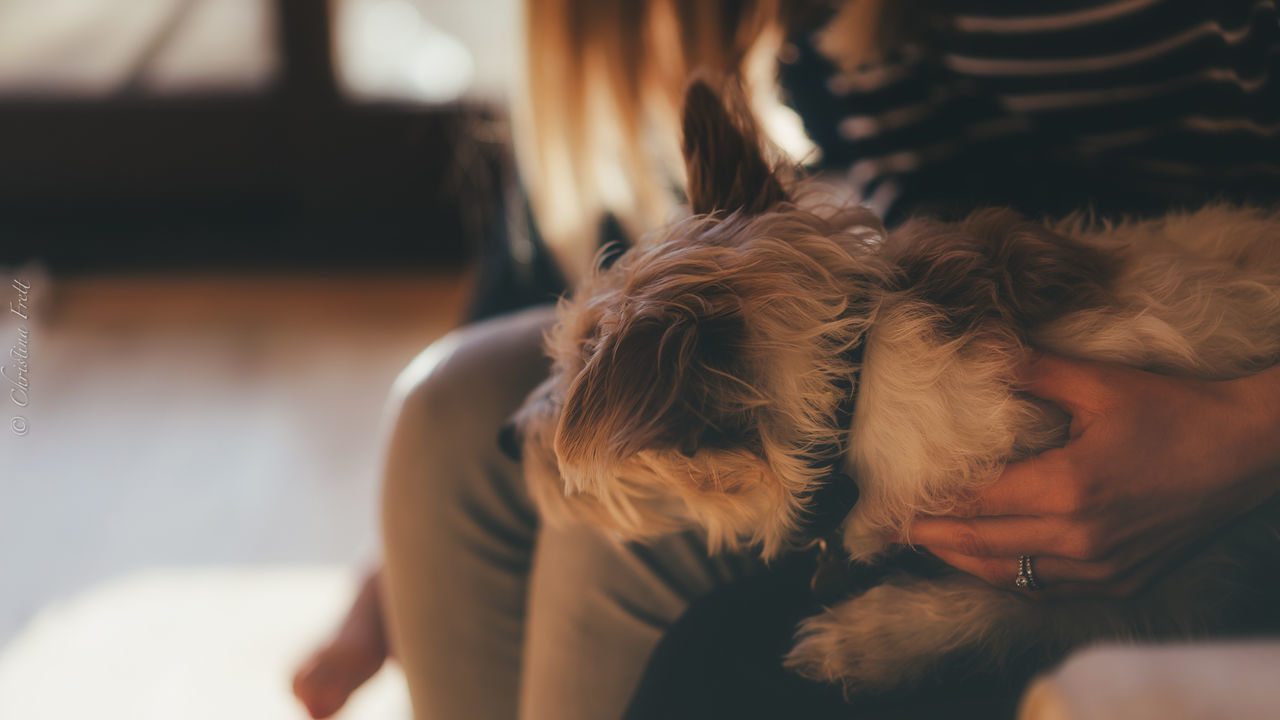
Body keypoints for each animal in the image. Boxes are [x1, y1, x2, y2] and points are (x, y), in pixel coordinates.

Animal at [506, 81, 1280, 691]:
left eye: (574, 370)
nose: (505, 437)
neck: (856, 384)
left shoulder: (1173, 584)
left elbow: (1013, 605)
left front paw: (864, 639)